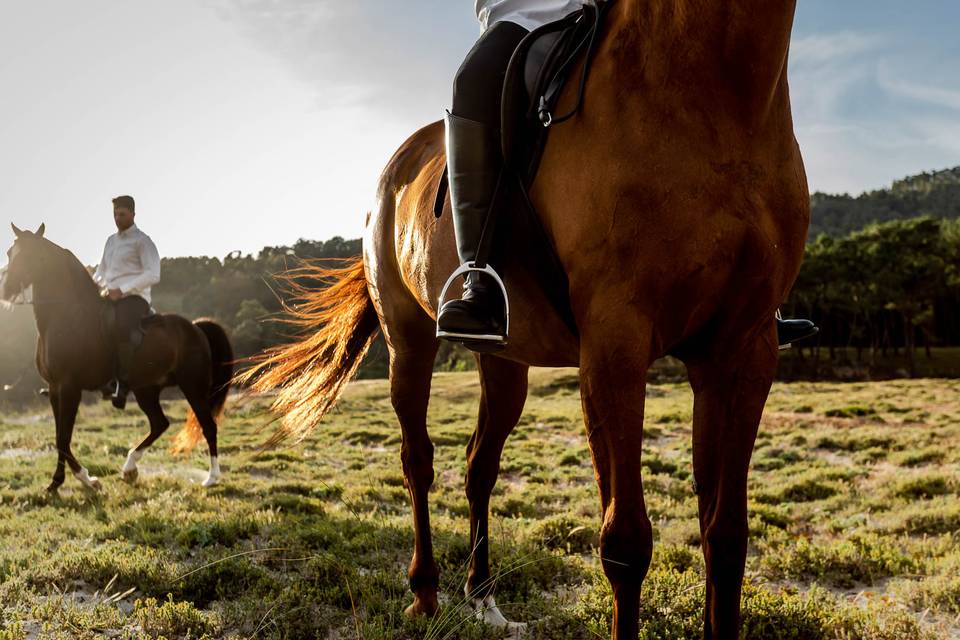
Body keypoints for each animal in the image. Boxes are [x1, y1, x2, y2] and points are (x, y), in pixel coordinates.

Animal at [1, 224, 234, 490]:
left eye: (32, 256)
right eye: (10, 253)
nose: (5, 291)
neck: (67, 317)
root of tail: (196, 327)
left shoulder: (70, 388)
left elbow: (64, 437)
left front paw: (84, 480)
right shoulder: (54, 388)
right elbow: (60, 436)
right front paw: (63, 482)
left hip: (192, 386)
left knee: (208, 425)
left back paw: (212, 477)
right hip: (146, 390)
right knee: (160, 423)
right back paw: (130, 468)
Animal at [242, 2, 808, 636]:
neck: (715, 95)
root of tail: (396, 169)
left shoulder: (742, 351)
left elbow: (726, 536)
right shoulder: (614, 346)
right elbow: (625, 542)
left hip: (505, 361)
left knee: (478, 465)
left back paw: (482, 595)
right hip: (408, 343)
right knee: (418, 461)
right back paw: (426, 592)